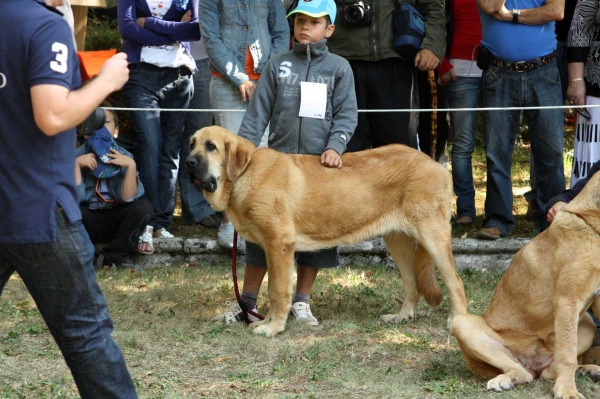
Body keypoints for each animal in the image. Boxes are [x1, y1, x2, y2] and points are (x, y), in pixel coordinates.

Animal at [188, 126, 468, 338]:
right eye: (192, 144)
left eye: (211, 146)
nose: (189, 161)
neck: (244, 173)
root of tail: (437, 165)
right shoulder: (269, 248)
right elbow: (272, 289)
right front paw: (267, 322)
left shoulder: (279, 245)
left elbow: (278, 291)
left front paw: (273, 328)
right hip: (397, 241)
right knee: (411, 284)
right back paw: (401, 316)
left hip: (433, 237)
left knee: (455, 282)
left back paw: (457, 322)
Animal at [450, 173, 600, 398]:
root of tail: (534, 361)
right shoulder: (568, 301)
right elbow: (567, 354)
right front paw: (567, 390)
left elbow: (568, 355)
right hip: (463, 324)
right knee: (525, 371)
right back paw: (506, 379)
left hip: (587, 323)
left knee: (549, 371)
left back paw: (588, 370)